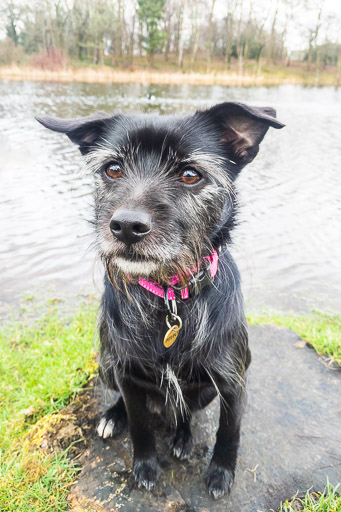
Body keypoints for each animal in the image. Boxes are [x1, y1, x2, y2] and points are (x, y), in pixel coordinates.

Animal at [36, 104, 282, 500]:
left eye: (190, 174)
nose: (126, 226)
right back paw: (112, 417)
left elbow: (229, 432)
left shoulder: (232, 381)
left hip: (204, 391)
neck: (169, 299)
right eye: (113, 168)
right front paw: (145, 466)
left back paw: (182, 436)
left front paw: (220, 474)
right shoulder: (127, 374)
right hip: (106, 364)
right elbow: (140, 426)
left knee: (183, 409)